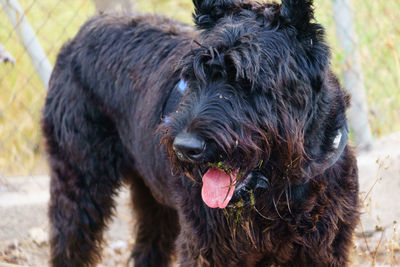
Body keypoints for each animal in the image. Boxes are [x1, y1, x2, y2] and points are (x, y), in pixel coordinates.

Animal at [41, 1, 360, 266]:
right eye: (192, 76)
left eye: (248, 80)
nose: (185, 147)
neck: (282, 189)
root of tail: (81, 34)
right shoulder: (207, 248)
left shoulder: (322, 249)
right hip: (79, 183)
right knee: (69, 244)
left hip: (152, 198)